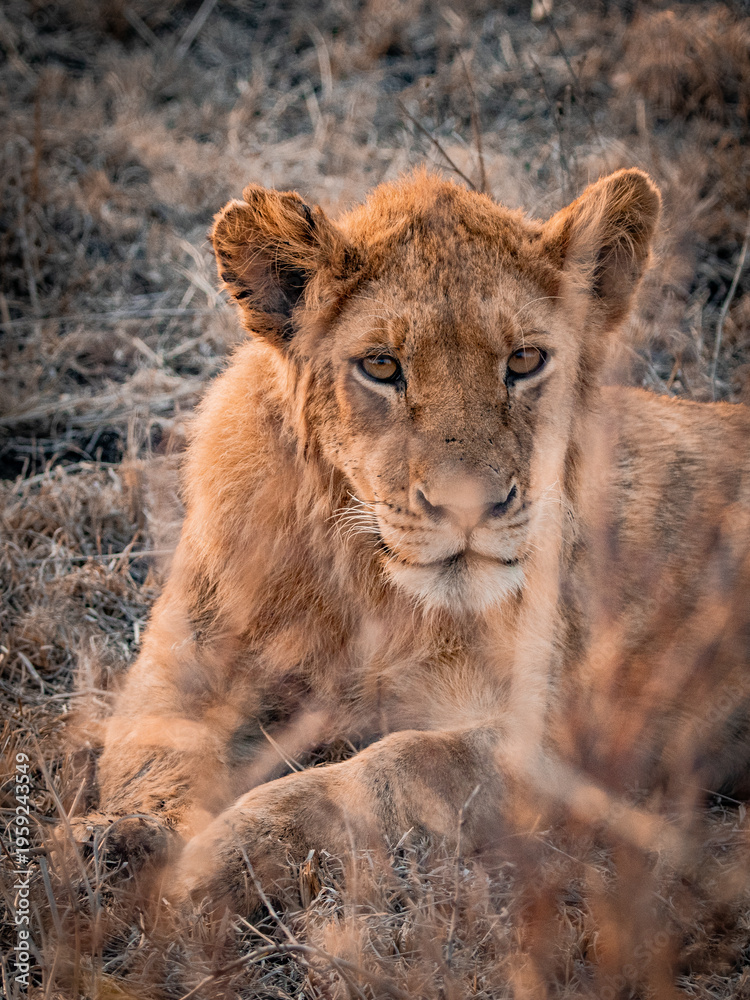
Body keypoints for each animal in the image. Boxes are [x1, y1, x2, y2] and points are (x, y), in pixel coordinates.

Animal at [73, 168, 750, 913]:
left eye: (525, 359)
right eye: (380, 366)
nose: (468, 508)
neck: (371, 591)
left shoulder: (567, 731)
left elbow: (390, 770)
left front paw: (228, 853)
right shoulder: (184, 659)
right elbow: (162, 744)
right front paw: (124, 837)